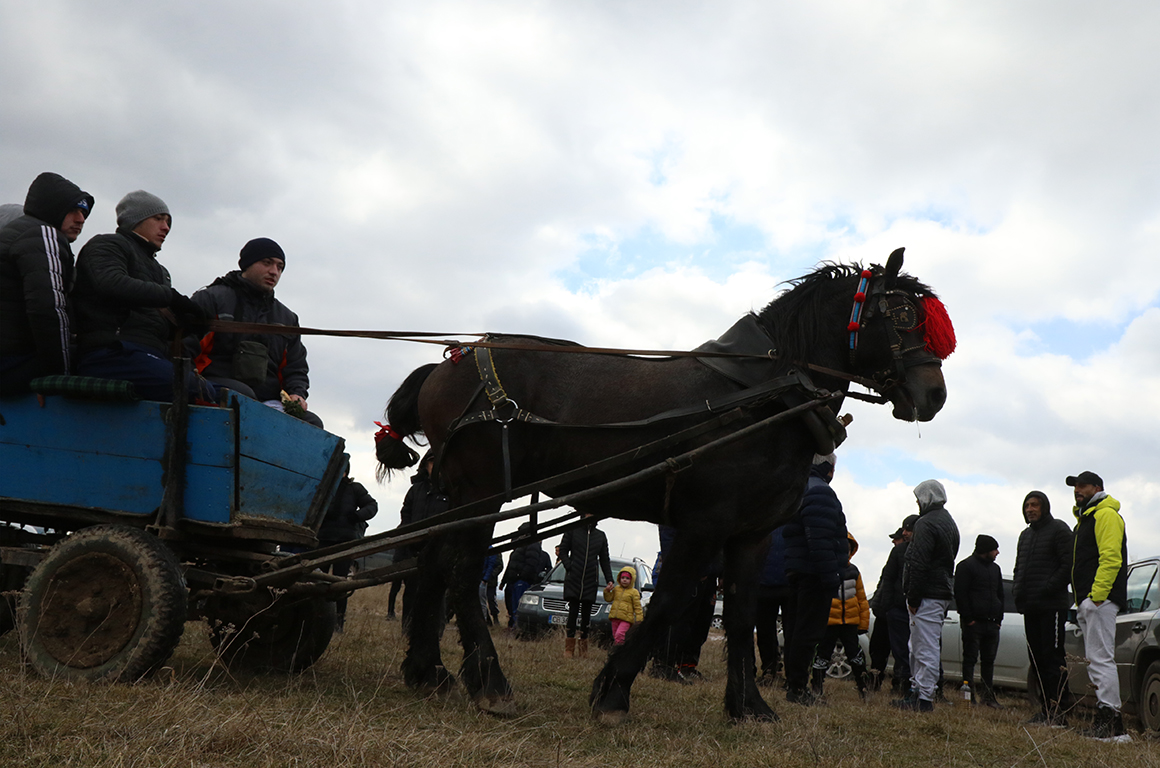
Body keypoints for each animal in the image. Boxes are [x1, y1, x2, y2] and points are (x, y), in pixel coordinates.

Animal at [375, 249, 955, 723]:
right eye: (903, 316)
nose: (935, 395)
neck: (765, 397)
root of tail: (448, 365)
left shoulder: (753, 533)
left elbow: (741, 615)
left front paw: (749, 706)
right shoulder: (705, 524)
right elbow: (671, 600)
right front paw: (612, 693)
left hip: (460, 494)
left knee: (432, 564)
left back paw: (427, 672)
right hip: (484, 489)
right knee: (461, 571)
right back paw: (490, 685)